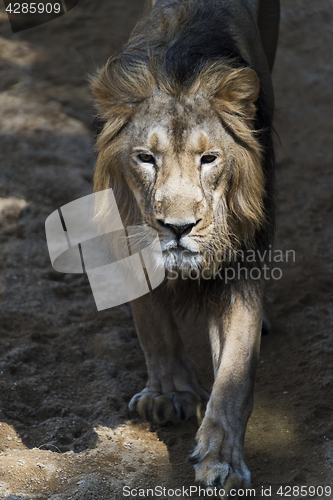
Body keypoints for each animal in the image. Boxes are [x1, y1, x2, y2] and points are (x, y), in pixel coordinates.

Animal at [90, 0, 278, 494]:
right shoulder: (131, 238)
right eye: (145, 158)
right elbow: (152, 322)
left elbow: (234, 373)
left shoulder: (241, 262)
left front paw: (222, 460)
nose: (178, 227)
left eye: (208, 159)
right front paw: (169, 394)